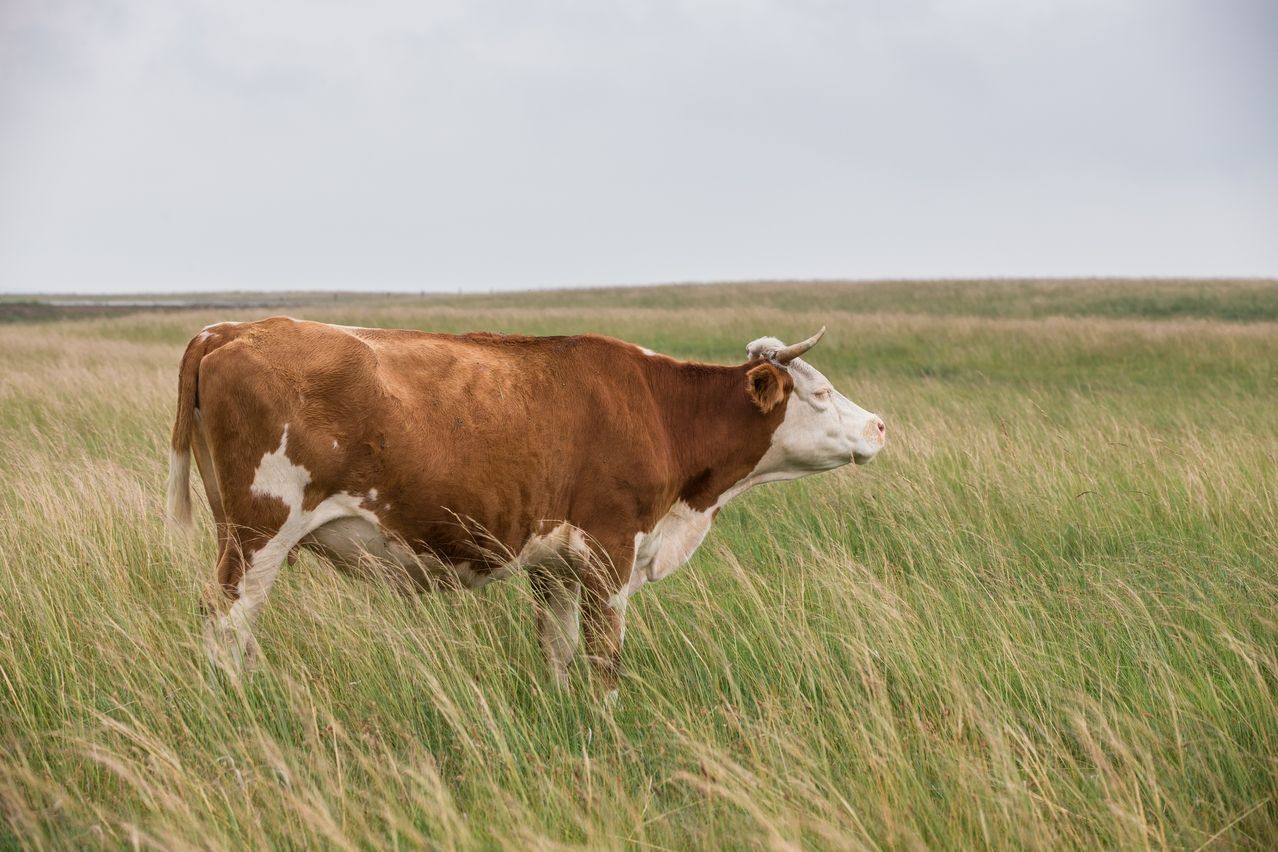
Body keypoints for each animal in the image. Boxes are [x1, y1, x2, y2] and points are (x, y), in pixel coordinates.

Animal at [167, 319, 889, 699]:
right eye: (820, 393)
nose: (879, 426)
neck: (657, 410)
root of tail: (231, 328)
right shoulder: (609, 550)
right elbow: (604, 656)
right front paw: (605, 719)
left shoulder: (555, 563)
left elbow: (559, 648)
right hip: (259, 531)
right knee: (227, 621)